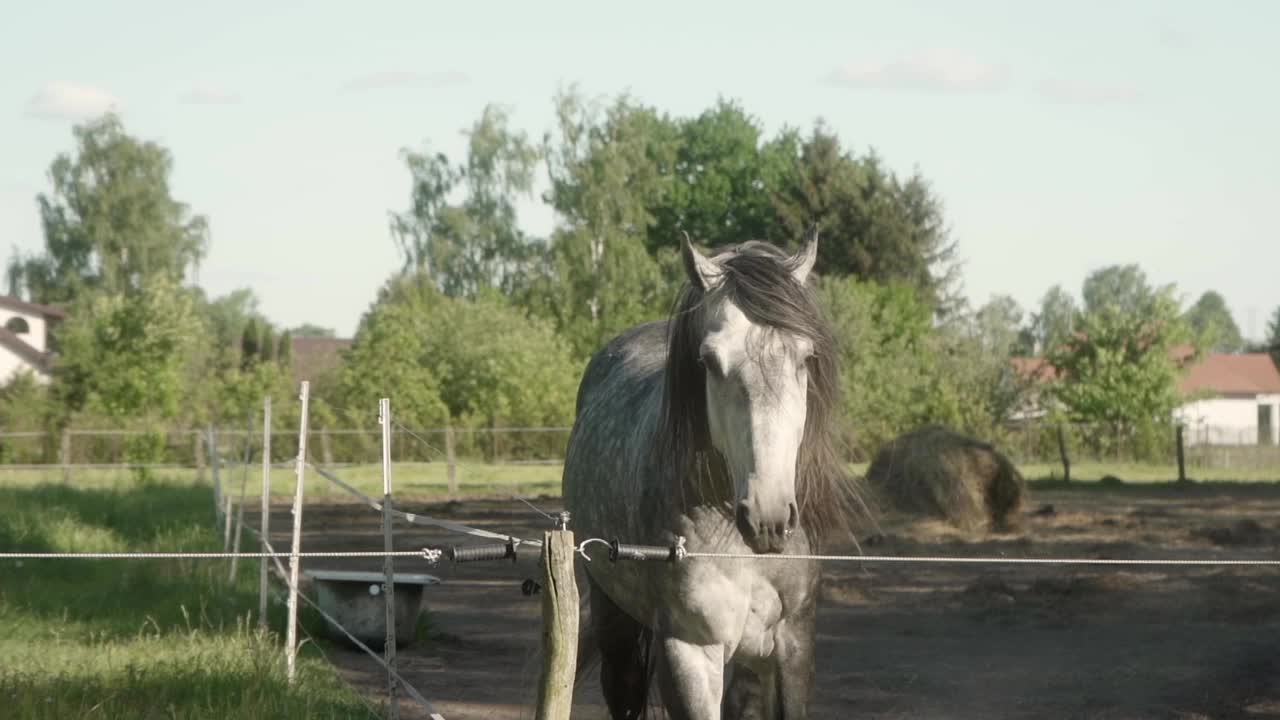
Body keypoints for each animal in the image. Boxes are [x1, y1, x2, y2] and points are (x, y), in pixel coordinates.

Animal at [563, 233, 855, 712]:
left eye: (804, 357)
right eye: (710, 361)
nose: (769, 517)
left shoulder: (792, 647)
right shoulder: (689, 651)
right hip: (614, 619)